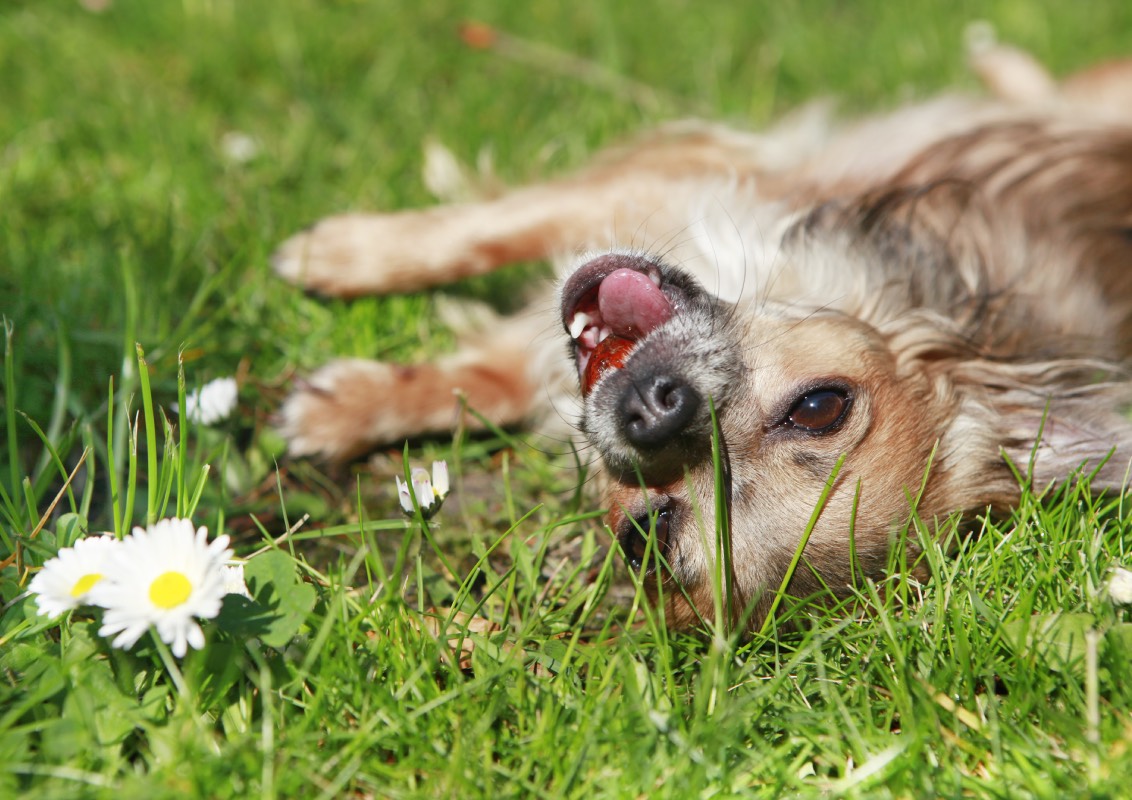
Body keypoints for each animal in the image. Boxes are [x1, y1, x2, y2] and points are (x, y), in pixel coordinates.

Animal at [271, 42, 1132, 633]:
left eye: (648, 539)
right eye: (821, 406)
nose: (659, 411)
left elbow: (483, 379)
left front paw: (337, 397)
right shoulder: (687, 180)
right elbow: (483, 233)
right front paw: (339, 261)